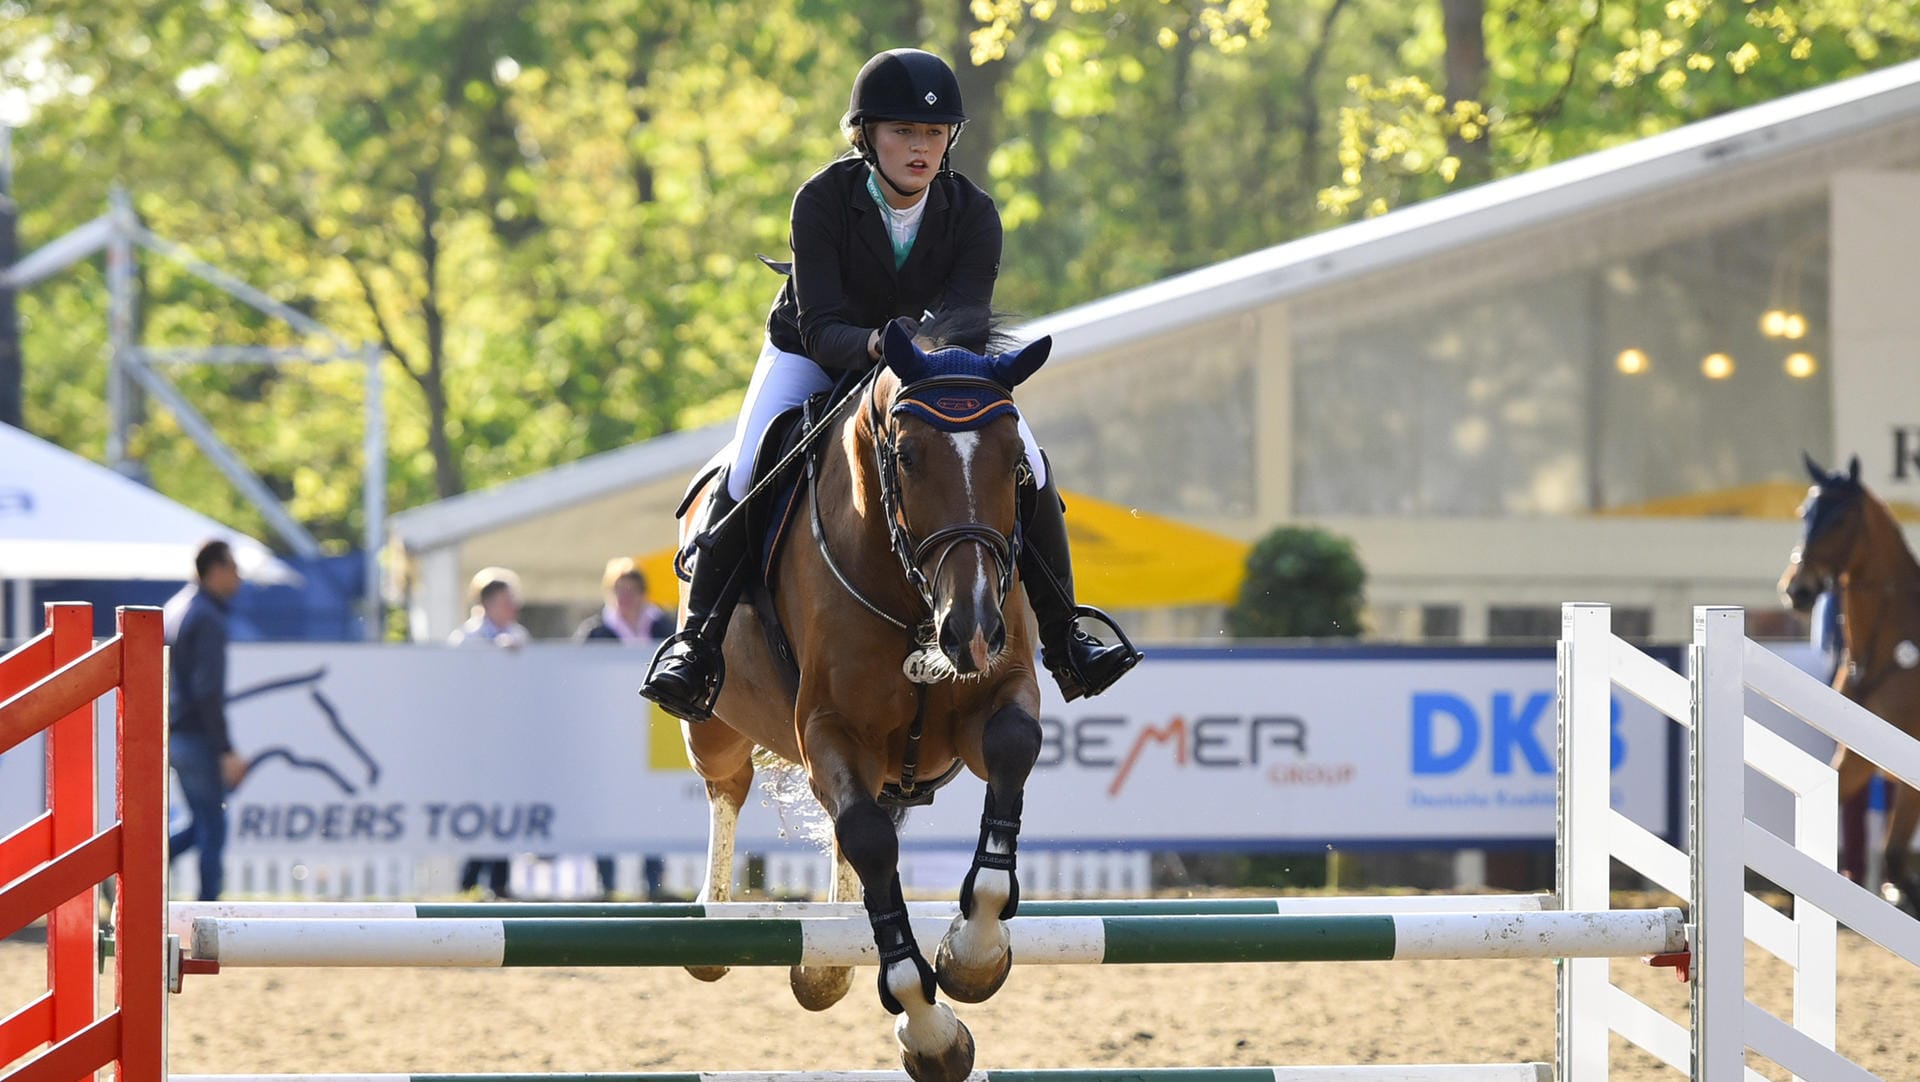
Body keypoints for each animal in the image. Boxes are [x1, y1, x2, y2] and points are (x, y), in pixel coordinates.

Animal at [672, 312, 1052, 1082]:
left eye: (1015, 466)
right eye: (905, 457)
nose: (971, 629)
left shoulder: (996, 696)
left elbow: (1011, 749)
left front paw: (974, 953)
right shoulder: (828, 729)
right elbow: (869, 838)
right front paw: (930, 1027)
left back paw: (828, 961)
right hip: (716, 723)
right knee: (728, 785)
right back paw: (716, 924)